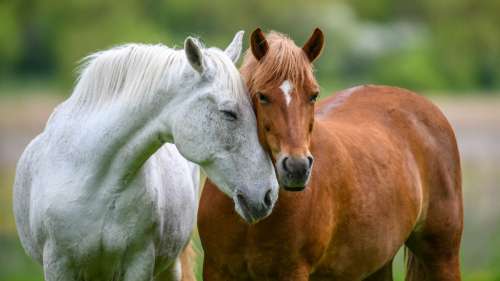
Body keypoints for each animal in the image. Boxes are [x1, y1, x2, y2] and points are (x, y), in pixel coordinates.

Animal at [197, 29, 462, 280]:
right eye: (262, 96)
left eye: (313, 95)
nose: (297, 168)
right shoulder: (216, 271)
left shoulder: (292, 272)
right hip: (377, 263)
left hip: (443, 256)